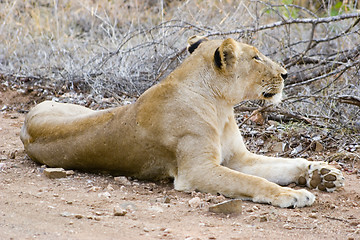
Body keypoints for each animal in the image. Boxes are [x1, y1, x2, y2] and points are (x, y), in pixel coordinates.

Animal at [20, 36, 344, 208]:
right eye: (256, 57)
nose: (287, 73)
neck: (221, 106)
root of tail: (26, 123)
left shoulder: (238, 158)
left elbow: (282, 164)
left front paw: (322, 173)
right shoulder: (197, 170)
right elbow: (253, 181)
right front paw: (292, 194)